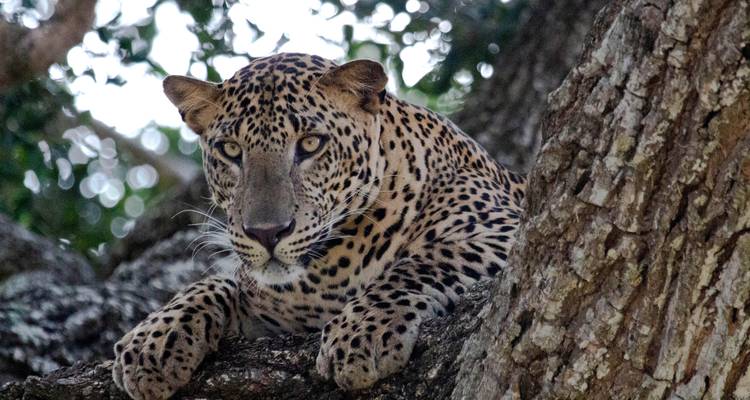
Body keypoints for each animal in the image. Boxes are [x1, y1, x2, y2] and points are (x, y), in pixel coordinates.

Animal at [112, 52, 526, 399]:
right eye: (230, 150)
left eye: (310, 144)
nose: (267, 233)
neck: (331, 268)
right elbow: (218, 282)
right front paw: (152, 340)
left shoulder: (504, 229)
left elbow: (424, 262)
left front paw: (362, 332)